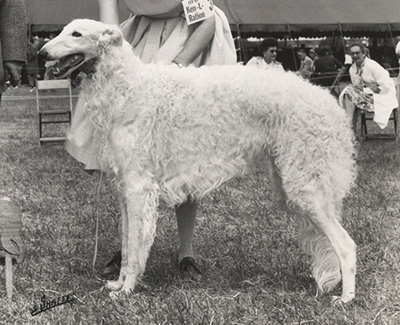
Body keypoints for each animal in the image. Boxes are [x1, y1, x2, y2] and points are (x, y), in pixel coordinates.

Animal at [40, 19, 358, 304]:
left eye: (76, 34)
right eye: (62, 30)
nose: (41, 53)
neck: (128, 88)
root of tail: (329, 102)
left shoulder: (138, 188)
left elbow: (135, 246)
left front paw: (126, 291)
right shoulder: (124, 190)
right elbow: (127, 244)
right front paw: (118, 284)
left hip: (306, 189)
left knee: (346, 245)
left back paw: (346, 299)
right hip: (292, 183)